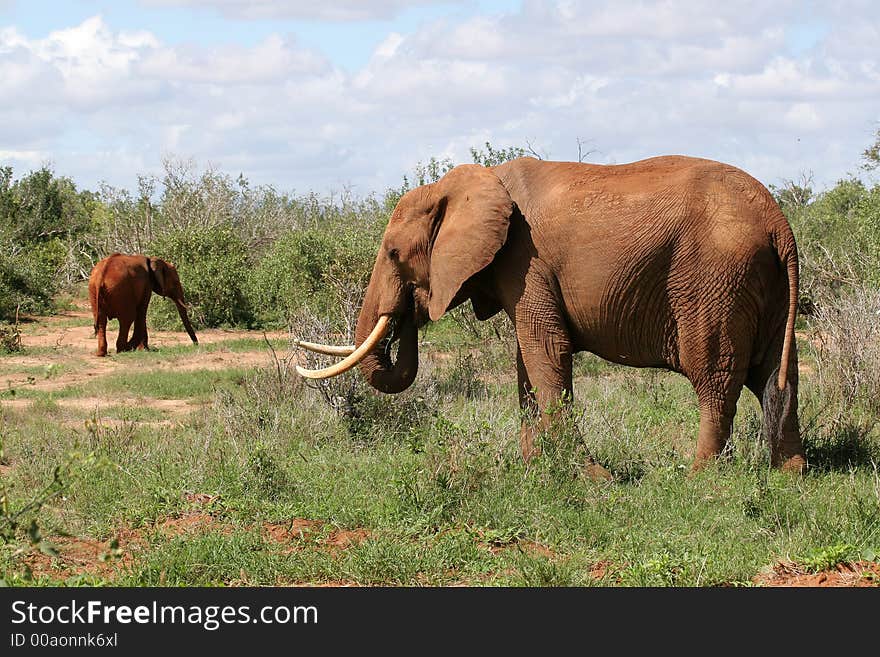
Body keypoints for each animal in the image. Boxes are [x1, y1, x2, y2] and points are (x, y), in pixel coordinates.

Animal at [294, 155, 804, 472]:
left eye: (394, 254)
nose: (408, 311)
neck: (465, 184)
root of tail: (780, 223)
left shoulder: (526, 262)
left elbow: (547, 353)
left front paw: (591, 480)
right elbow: (526, 364)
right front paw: (535, 472)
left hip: (715, 279)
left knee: (715, 378)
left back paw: (698, 480)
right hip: (764, 286)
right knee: (777, 377)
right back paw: (789, 474)